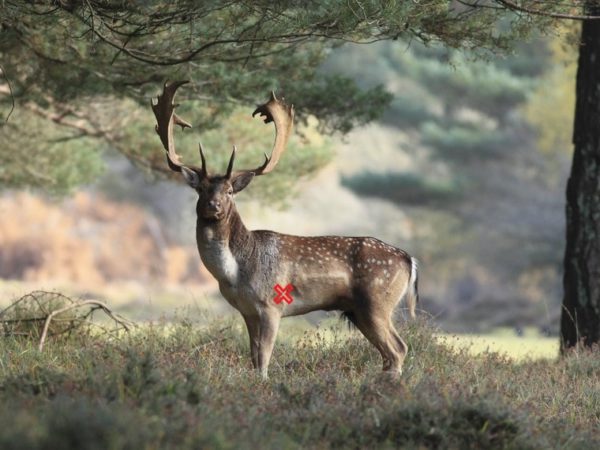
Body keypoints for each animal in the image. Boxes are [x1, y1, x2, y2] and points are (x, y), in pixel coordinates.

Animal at [152, 81, 420, 380]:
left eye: (230, 191)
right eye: (201, 189)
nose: (213, 205)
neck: (234, 272)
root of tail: (409, 260)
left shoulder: (272, 304)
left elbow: (264, 358)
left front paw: (262, 383)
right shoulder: (247, 311)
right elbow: (253, 356)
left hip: (377, 301)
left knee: (398, 348)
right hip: (359, 311)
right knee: (390, 352)